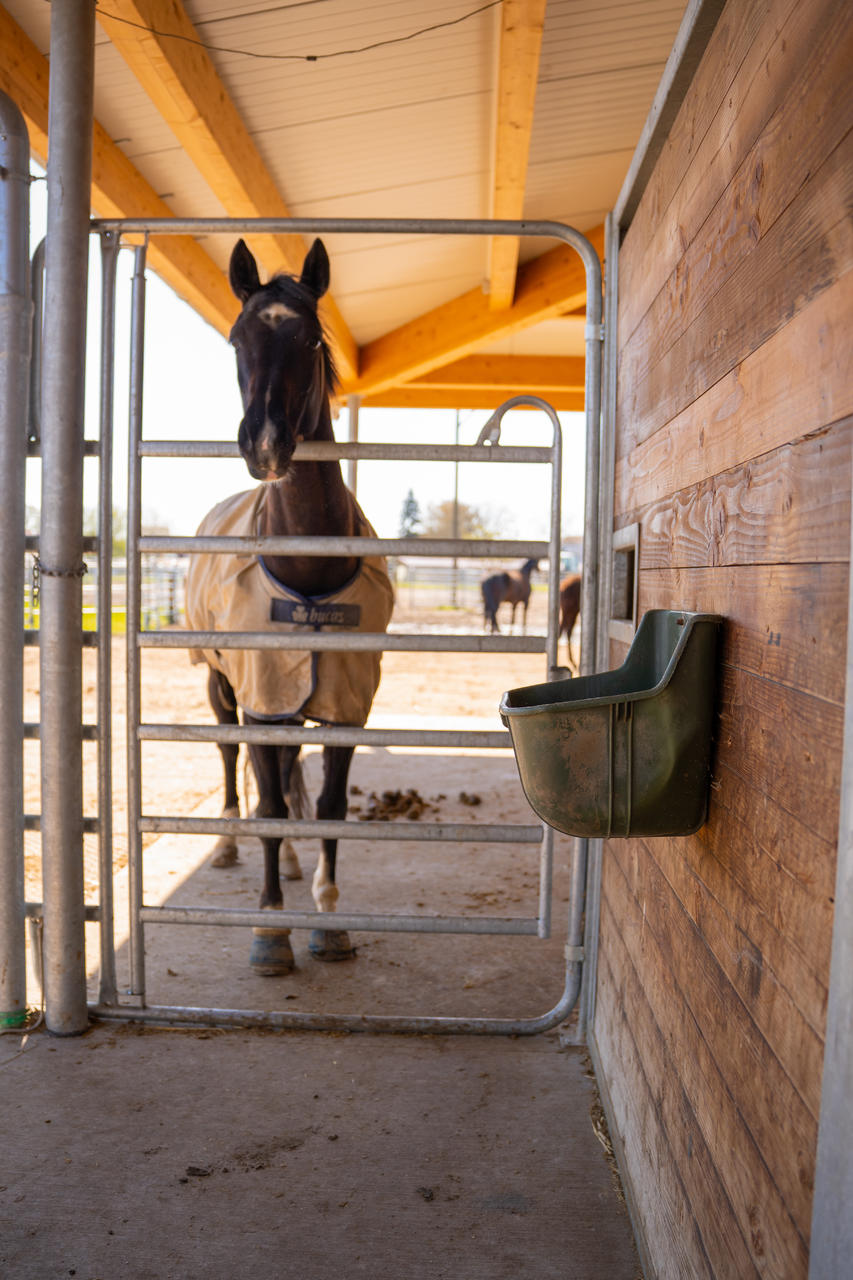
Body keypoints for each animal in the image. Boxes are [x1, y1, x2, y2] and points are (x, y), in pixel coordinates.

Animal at [185, 240, 391, 972]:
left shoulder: (344, 701)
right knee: (233, 765)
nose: (266, 445)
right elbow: (269, 802)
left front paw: (327, 920)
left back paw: (298, 866)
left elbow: (326, 804)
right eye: (236, 337)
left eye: (310, 337)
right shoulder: (261, 695)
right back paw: (226, 845)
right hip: (224, 687)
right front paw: (271, 930)